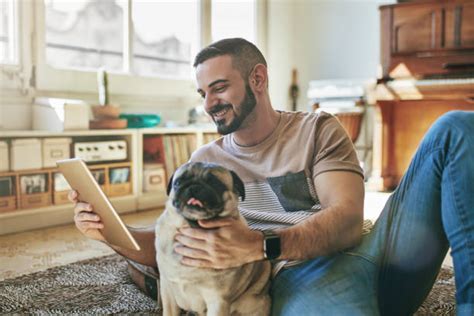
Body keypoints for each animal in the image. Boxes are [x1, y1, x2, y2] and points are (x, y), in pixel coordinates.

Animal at [156, 163, 270, 316]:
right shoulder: (167, 290)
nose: (194, 187)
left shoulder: (218, 301)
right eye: (178, 183)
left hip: (256, 301)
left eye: (215, 183)